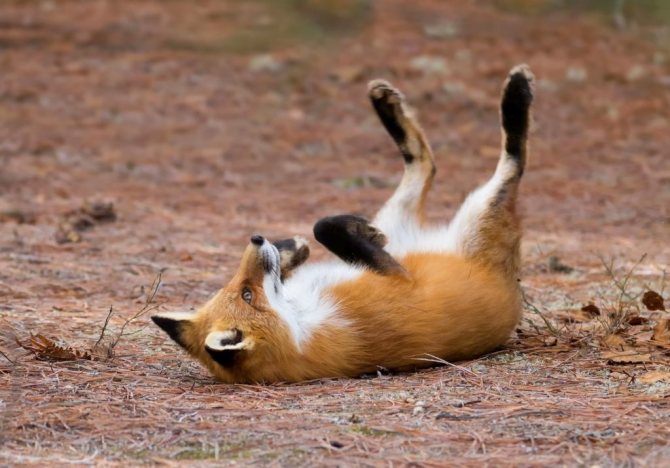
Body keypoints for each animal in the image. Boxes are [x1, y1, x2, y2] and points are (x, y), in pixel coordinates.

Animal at [152, 65, 534, 384]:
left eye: (236, 289)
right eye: (247, 294)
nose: (257, 238)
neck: (301, 322)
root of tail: (511, 284)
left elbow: (320, 227)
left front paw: (292, 247)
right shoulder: (397, 277)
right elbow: (331, 231)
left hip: (400, 219)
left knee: (423, 162)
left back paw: (386, 104)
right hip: (478, 215)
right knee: (511, 160)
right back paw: (516, 94)